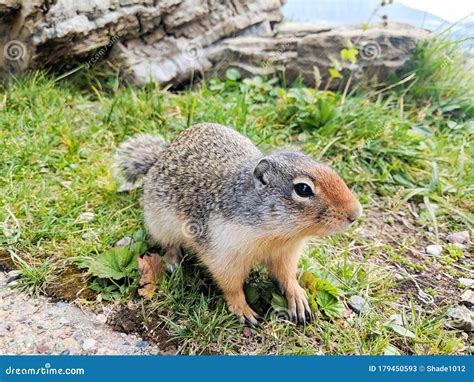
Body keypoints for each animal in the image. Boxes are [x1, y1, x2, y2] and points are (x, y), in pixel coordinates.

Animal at [116, 123, 362, 326]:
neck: (280, 233)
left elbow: (287, 275)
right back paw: (172, 260)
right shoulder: (224, 253)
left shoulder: (287, 253)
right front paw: (243, 310)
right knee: (168, 243)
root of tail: (160, 155)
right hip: (159, 222)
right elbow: (231, 285)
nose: (356, 213)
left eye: (329, 169)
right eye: (303, 189)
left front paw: (298, 297)